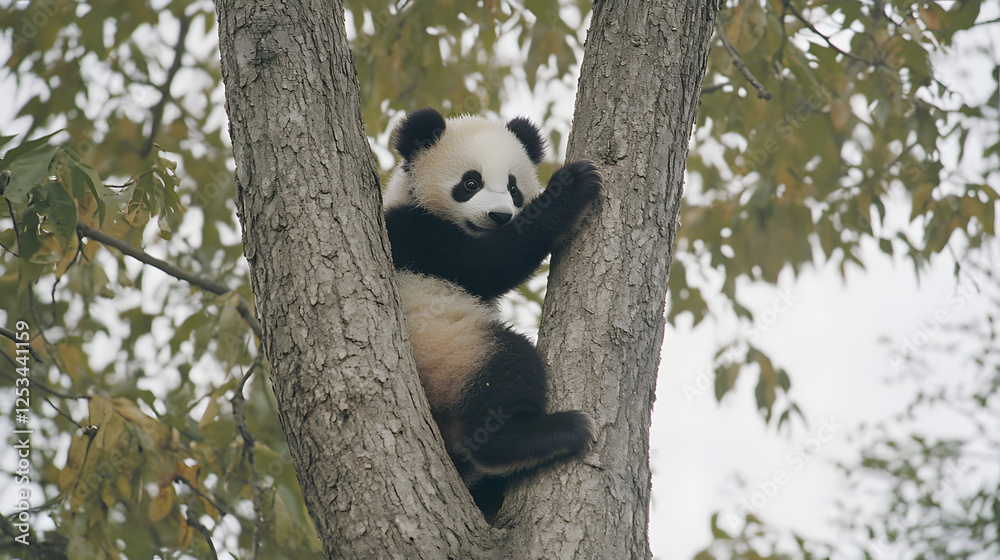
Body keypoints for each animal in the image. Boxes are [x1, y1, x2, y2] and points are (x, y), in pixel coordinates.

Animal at [382, 107, 602, 518]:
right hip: (451, 352)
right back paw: (533, 438)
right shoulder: (413, 233)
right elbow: (490, 262)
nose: (500, 216)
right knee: (504, 367)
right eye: (471, 183)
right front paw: (573, 187)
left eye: (514, 188)